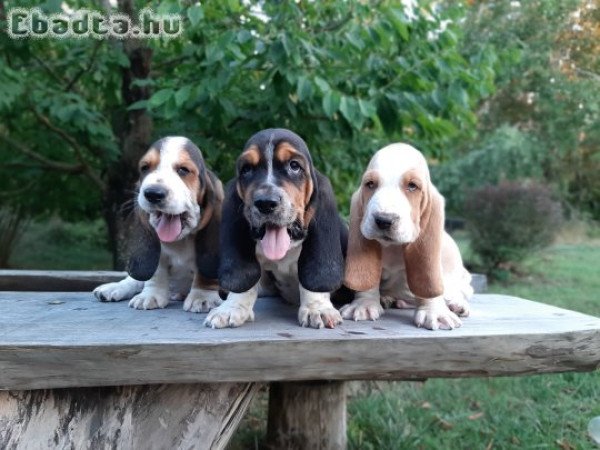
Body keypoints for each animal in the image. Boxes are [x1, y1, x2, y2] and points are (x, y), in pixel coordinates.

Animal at [92, 137, 224, 312]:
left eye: (183, 170)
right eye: (144, 168)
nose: (153, 194)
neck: (181, 241)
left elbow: (204, 274)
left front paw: (202, 297)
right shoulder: (157, 256)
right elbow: (156, 272)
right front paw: (151, 295)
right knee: (135, 279)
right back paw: (113, 288)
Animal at [342, 144, 474, 330]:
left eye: (412, 186)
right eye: (370, 184)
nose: (384, 220)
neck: (393, 248)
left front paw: (435, 312)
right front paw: (364, 304)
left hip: (461, 277)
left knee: (459, 291)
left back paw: (457, 304)